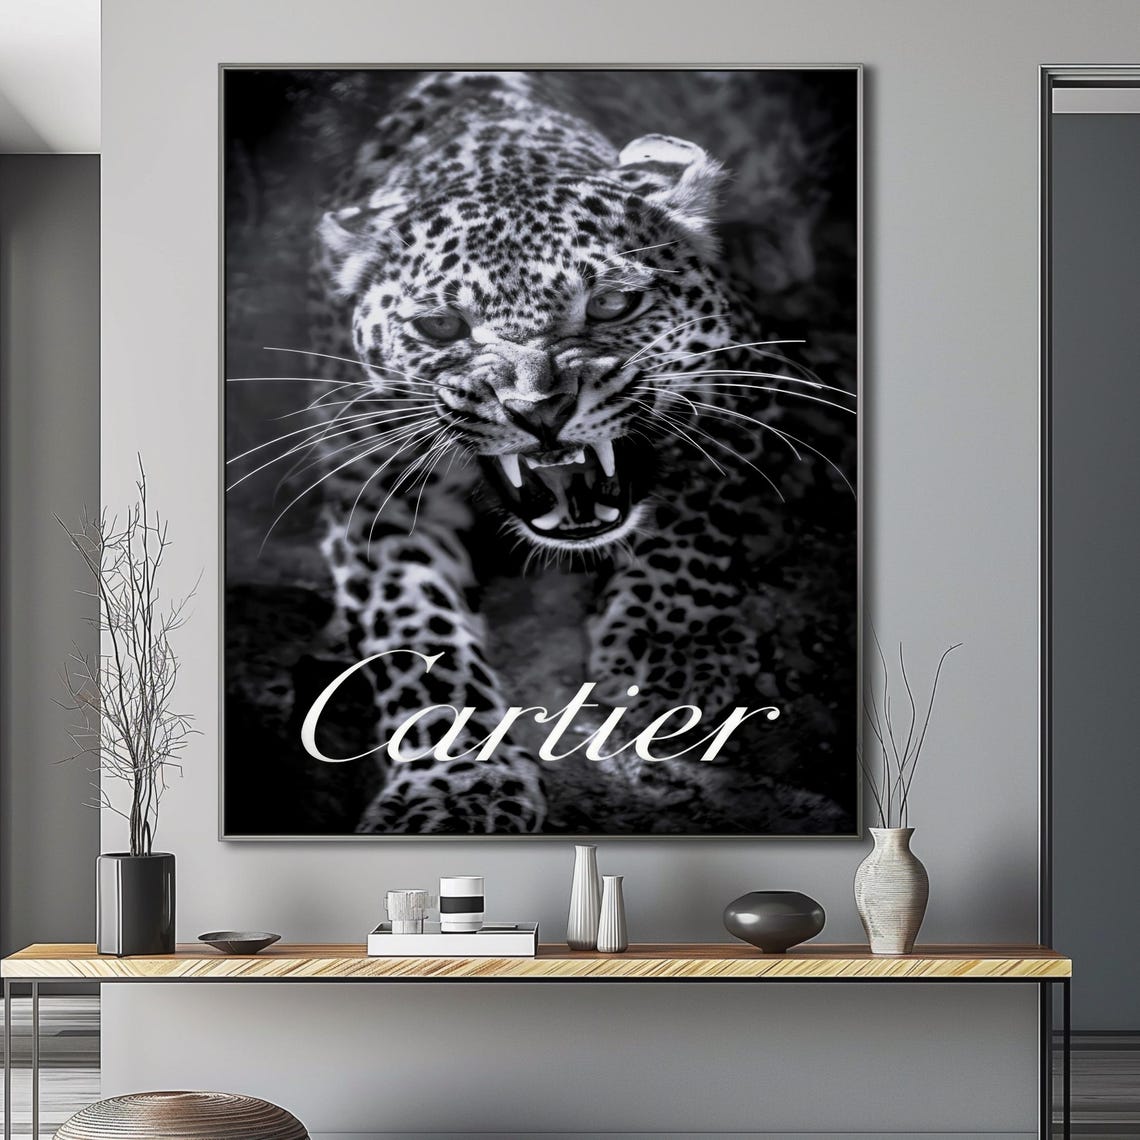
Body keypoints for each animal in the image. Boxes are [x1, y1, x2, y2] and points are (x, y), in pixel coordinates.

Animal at [293, 70, 855, 835]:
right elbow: (411, 633)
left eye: (613, 304)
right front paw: (452, 786)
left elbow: (694, 521)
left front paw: (667, 659)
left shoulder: (743, 380)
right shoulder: (370, 488)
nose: (539, 410)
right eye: (440, 327)